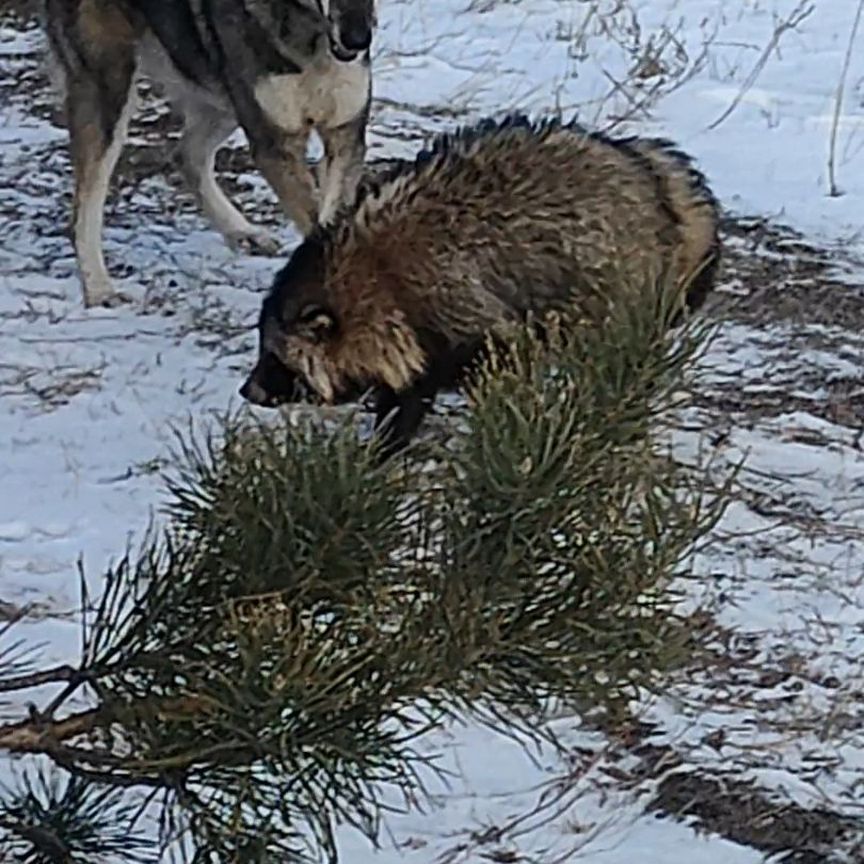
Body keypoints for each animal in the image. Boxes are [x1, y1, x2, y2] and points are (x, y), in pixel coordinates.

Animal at [43, 0, 374, 308]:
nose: (358, 39)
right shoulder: (274, 144)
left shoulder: (345, 137)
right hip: (110, 93)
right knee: (84, 211)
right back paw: (100, 291)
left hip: (217, 89)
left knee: (185, 155)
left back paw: (241, 232)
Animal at [240, 115, 720, 460]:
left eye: (276, 357)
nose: (248, 391)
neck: (374, 273)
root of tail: (646, 173)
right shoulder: (414, 332)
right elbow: (410, 386)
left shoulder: (458, 306)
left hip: (616, 285)